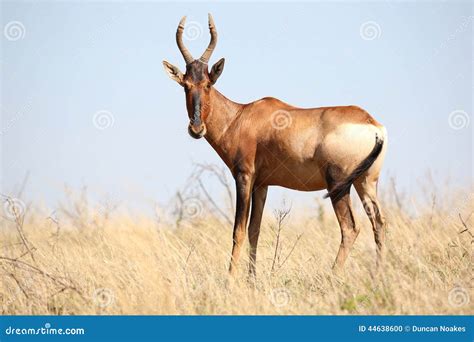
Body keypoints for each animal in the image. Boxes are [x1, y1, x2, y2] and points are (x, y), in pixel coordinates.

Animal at [165, 14, 386, 276]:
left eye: (208, 84)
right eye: (186, 85)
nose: (197, 128)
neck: (240, 116)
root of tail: (372, 124)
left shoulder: (244, 177)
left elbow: (238, 231)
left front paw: (230, 280)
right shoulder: (263, 184)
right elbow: (255, 231)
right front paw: (251, 279)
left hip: (339, 184)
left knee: (350, 228)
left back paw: (333, 276)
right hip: (366, 182)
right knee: (379, 223)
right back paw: (379, 275)